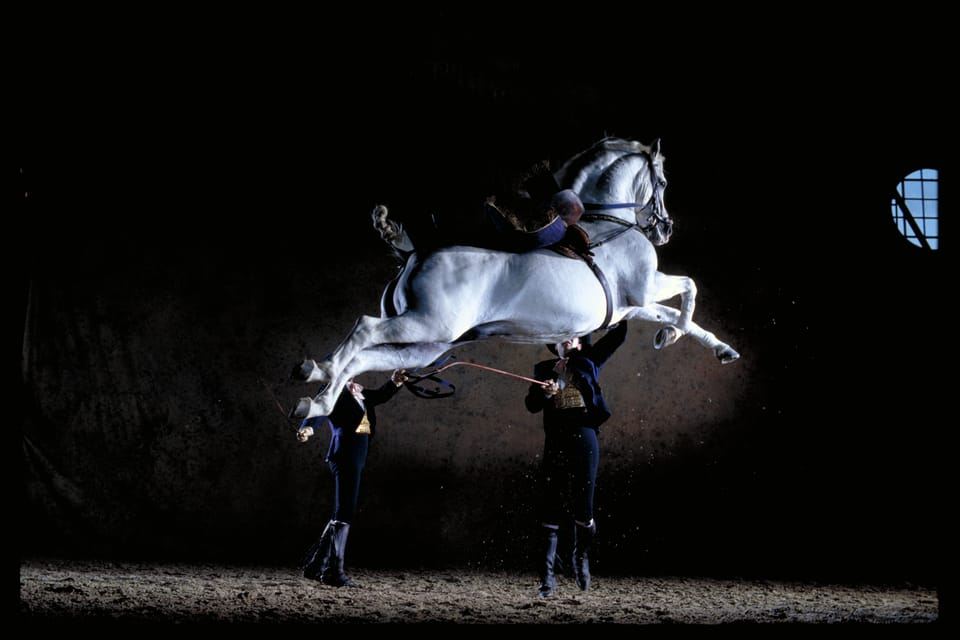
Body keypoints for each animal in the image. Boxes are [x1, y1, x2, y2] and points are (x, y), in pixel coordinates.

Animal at [291, 137, 739, 419]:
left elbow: (677, 313)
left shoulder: (630, 307)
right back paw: (318, 372)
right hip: (426, 324)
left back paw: (315, 400)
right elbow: (690, 288)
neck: (608, 222)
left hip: (425, 347)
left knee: (365, 358)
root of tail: (413, 253)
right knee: (363, 330)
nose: (665, 229)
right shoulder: (647, 287)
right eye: (662, 181)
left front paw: (711, 346)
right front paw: (672, 335)